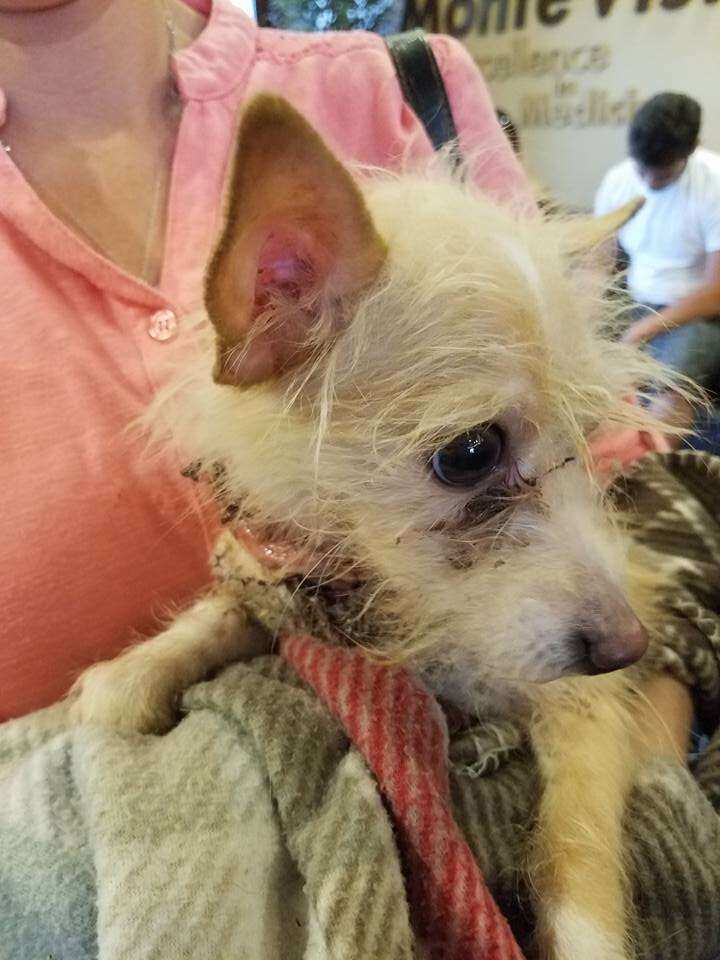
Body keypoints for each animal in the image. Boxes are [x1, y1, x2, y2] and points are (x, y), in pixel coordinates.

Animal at [70, 95, 676, 960]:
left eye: (588, 440)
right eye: (469, 454)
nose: (633, 643)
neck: (390, 609)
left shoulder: (582, 706)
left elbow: (581, 839)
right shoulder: (274, 571)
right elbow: (223, 609)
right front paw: (140, 668)